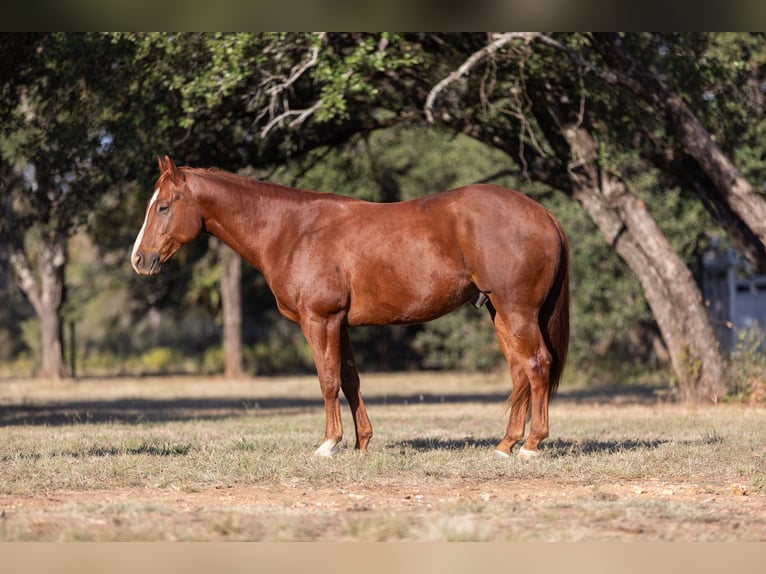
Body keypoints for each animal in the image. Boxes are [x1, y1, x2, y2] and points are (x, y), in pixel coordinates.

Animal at [132, 155, 568, 462]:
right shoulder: (339, 324)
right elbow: (350, 378)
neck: (292, 230)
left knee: (537, 365)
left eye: (164, 207)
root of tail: (543, 213)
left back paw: (531, 445)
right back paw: (506, 444)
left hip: (516, 312)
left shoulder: (319, 320)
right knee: (519, 371)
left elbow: (327, 380)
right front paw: (362, 443)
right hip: (501, 313)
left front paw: (329, 444)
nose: (139, 260)